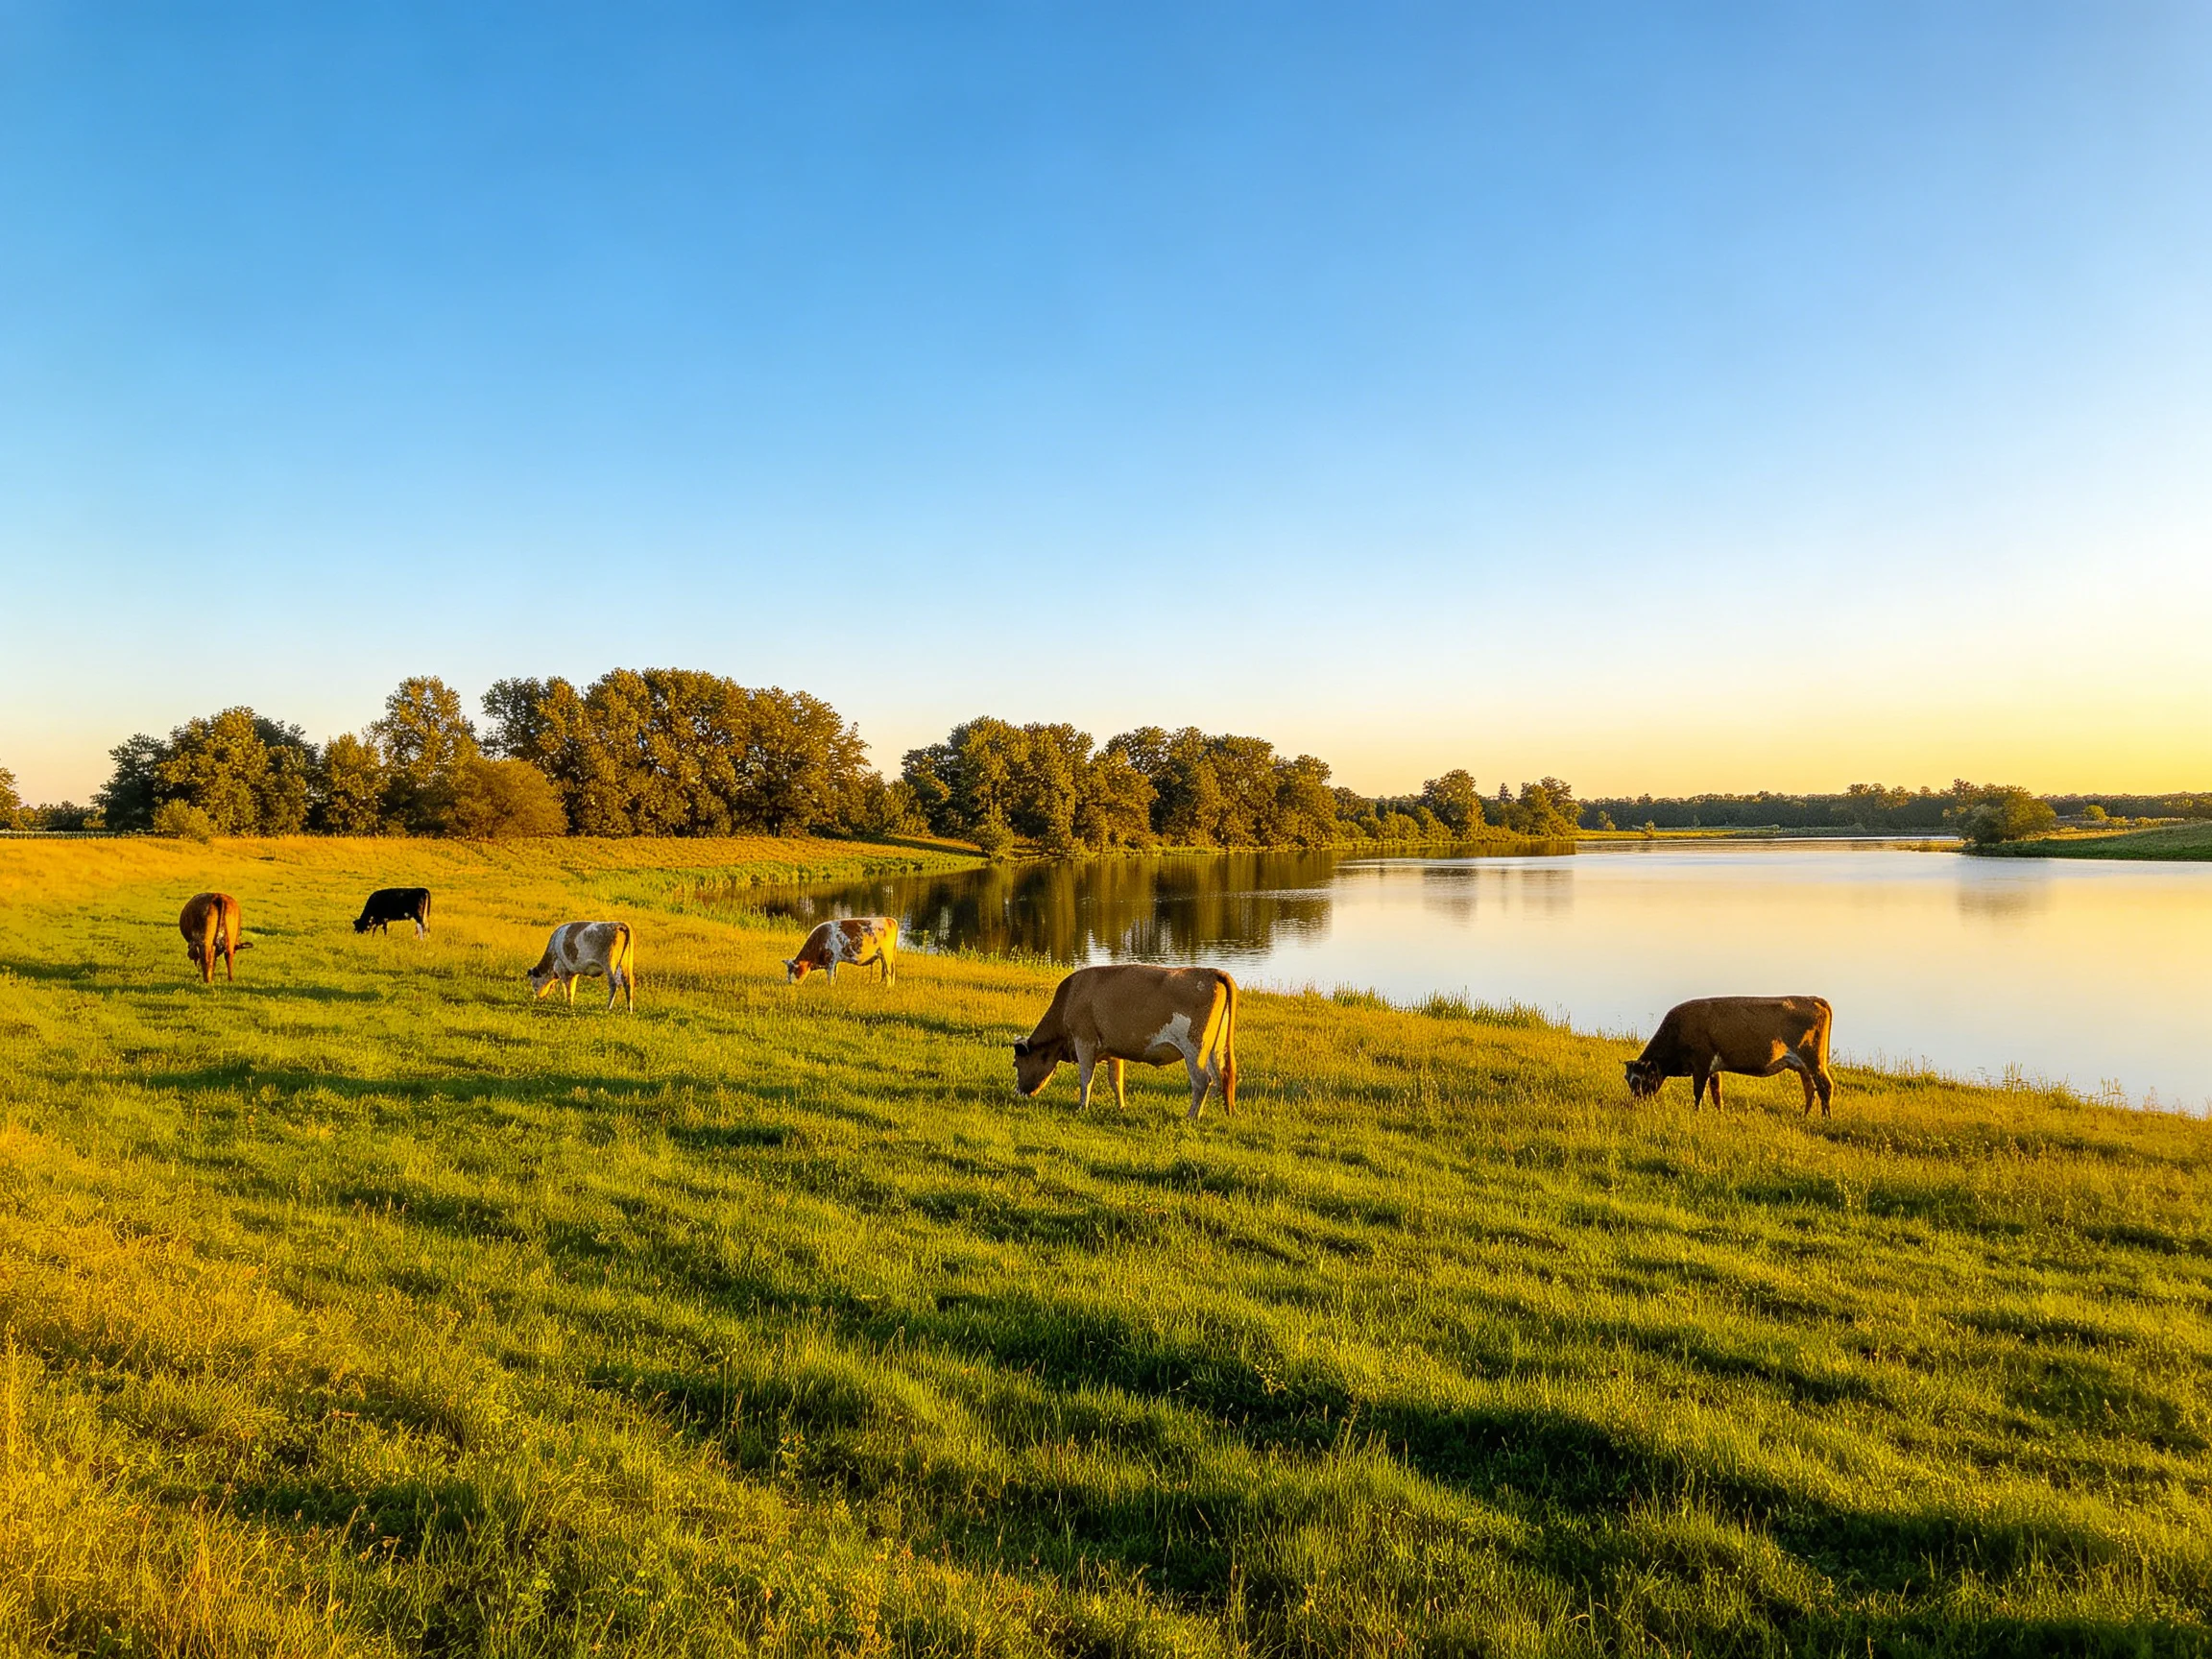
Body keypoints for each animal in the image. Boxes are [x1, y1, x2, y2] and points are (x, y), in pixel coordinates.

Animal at [1013, 964, 1239, 1120]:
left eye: (1016, 1064)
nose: (1018, 1093)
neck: (1071, 996)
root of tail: (1211, 972)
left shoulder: (1084, 1040)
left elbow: (1086, 1078)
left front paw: (1082, 1107)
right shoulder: (1113, 1050)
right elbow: (1116, 1081)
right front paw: (1121, 1107)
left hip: (1194, 1047)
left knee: (1202, 1080)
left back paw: (1191, 1116)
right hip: (1215, 1048)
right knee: (1223, 1076)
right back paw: (1224, 1112)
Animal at [1625, 995, 1835, 1116]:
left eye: (1640, 1080)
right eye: (1628, 1078)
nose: (1635, 1104)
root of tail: (1812, 998)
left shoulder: (1701, 1063)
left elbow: (1698, 1091)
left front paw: (1696, 1112)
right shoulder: (1712, 1068)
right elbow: (1716, 1092)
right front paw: (1719, 1113)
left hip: (1814, 1060)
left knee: (1824, 1086)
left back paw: (1825, 1118)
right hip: (1803, 1066)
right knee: (1810, 1089)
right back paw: (1804, 1116)